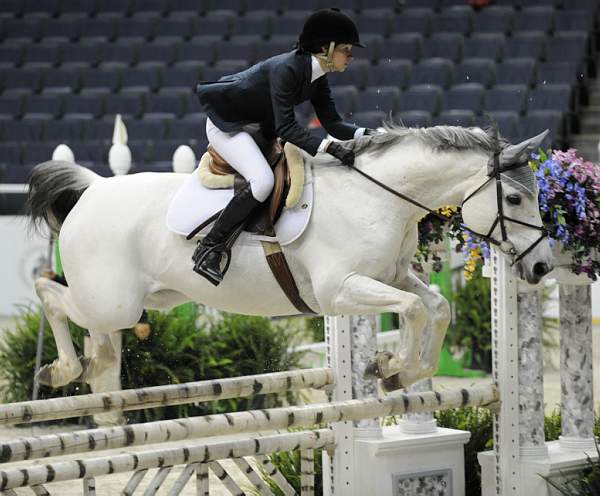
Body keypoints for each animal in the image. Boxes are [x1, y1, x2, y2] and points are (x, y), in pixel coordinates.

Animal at [27, 126, 552, 398]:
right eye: (513, 198)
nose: (542, 268)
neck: (376, 197)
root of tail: (92, 189)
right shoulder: (339, 290)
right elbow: (414, 309)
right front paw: (391, 365)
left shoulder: (391, 276)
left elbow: (434, 306)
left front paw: (398, 371)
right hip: (111, 300)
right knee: (49, 293)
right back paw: (61, 370)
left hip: (144, 301)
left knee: (98, 339)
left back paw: (92, 375)